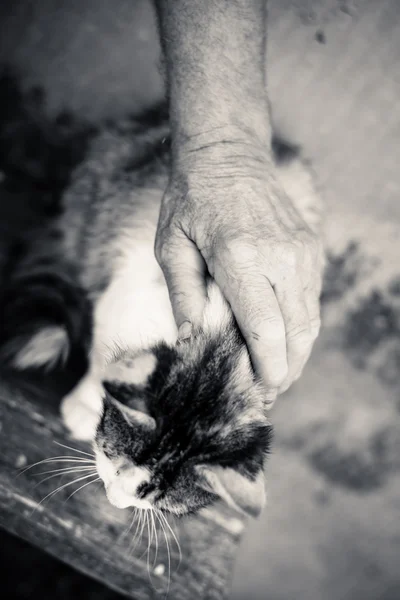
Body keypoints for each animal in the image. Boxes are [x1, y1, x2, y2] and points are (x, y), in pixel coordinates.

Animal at [0, 105, 320, 516]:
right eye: (115, 461)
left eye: (158, 499)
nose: (117, 501)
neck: (220, 346)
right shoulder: (119, 305)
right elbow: (99, 362)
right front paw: (86, 404)